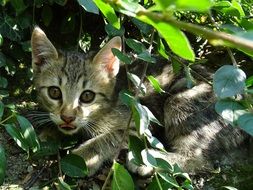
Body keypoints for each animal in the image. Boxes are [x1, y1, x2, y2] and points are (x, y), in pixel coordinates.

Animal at [31, 27, 249, 177]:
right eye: (54, 92)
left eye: (87, 96)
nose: (67, 117)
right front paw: (48, 132)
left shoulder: (142, 120)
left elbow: (111, 137)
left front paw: (84, 156)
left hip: (182, 101)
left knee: (201, 159)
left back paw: (148, 161)